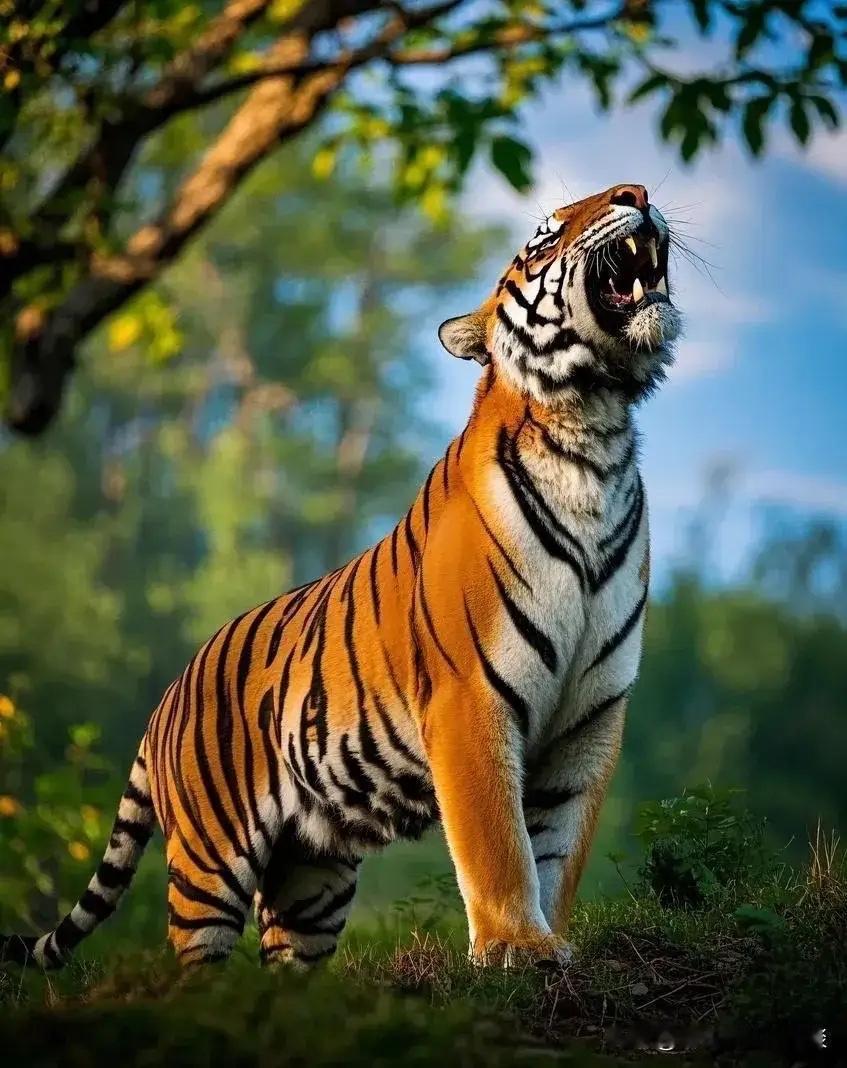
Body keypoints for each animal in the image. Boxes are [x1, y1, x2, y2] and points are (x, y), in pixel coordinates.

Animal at [1, 182, 681, 972]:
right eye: (544, 235)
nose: (636, 192)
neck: (592, 436)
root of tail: (167, 697)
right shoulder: (471, 698)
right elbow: (499, 844)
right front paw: (514, 946)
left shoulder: (590, 717)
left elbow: (557, 851)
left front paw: (550, 942)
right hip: (209, 864)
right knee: (195, 964)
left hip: (310, 877)